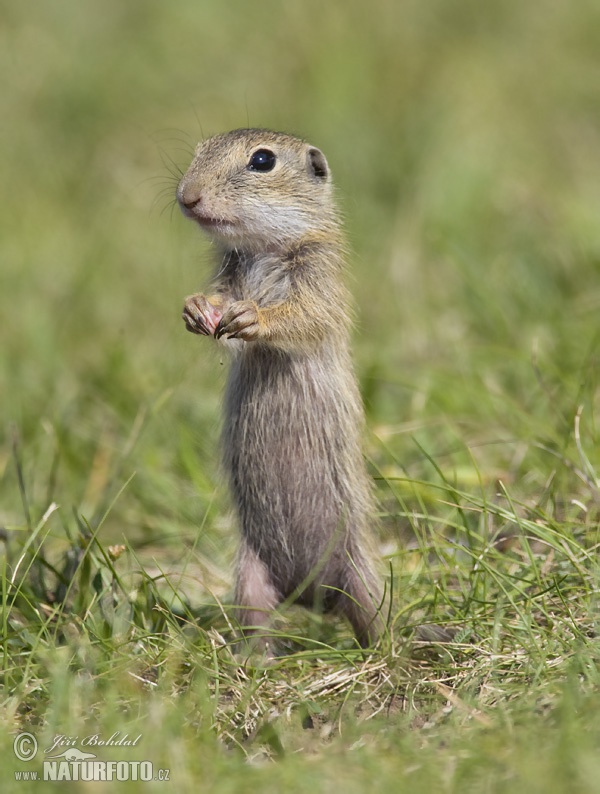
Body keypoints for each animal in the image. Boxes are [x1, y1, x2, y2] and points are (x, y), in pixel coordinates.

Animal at [178, 128, 384, 644]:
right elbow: (219, 300)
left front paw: (256, 316)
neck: (264, 250)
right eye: (198, 150)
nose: (187, 197)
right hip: (250, 574)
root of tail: (313, 599)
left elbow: (304, 315)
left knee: (376, 622)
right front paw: (196, 308)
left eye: (262, 161)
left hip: (363, 574)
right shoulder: (230, 273)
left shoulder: (319, 275)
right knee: (259, 622)